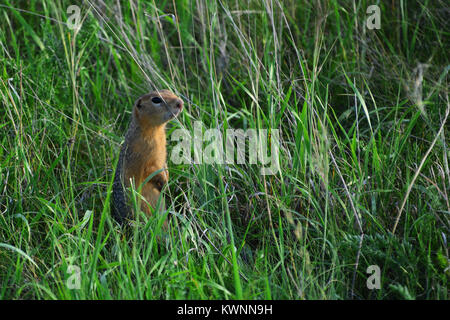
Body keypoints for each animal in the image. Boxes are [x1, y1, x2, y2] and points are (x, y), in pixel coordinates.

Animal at [111, 89, 183, 224]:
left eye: (167, 90)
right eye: (156, 100)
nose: (180, 103)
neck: (155, 130)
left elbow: (163, 165)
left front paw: (167, 177)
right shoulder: (145, 157)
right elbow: (151, 170)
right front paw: (164, 181)